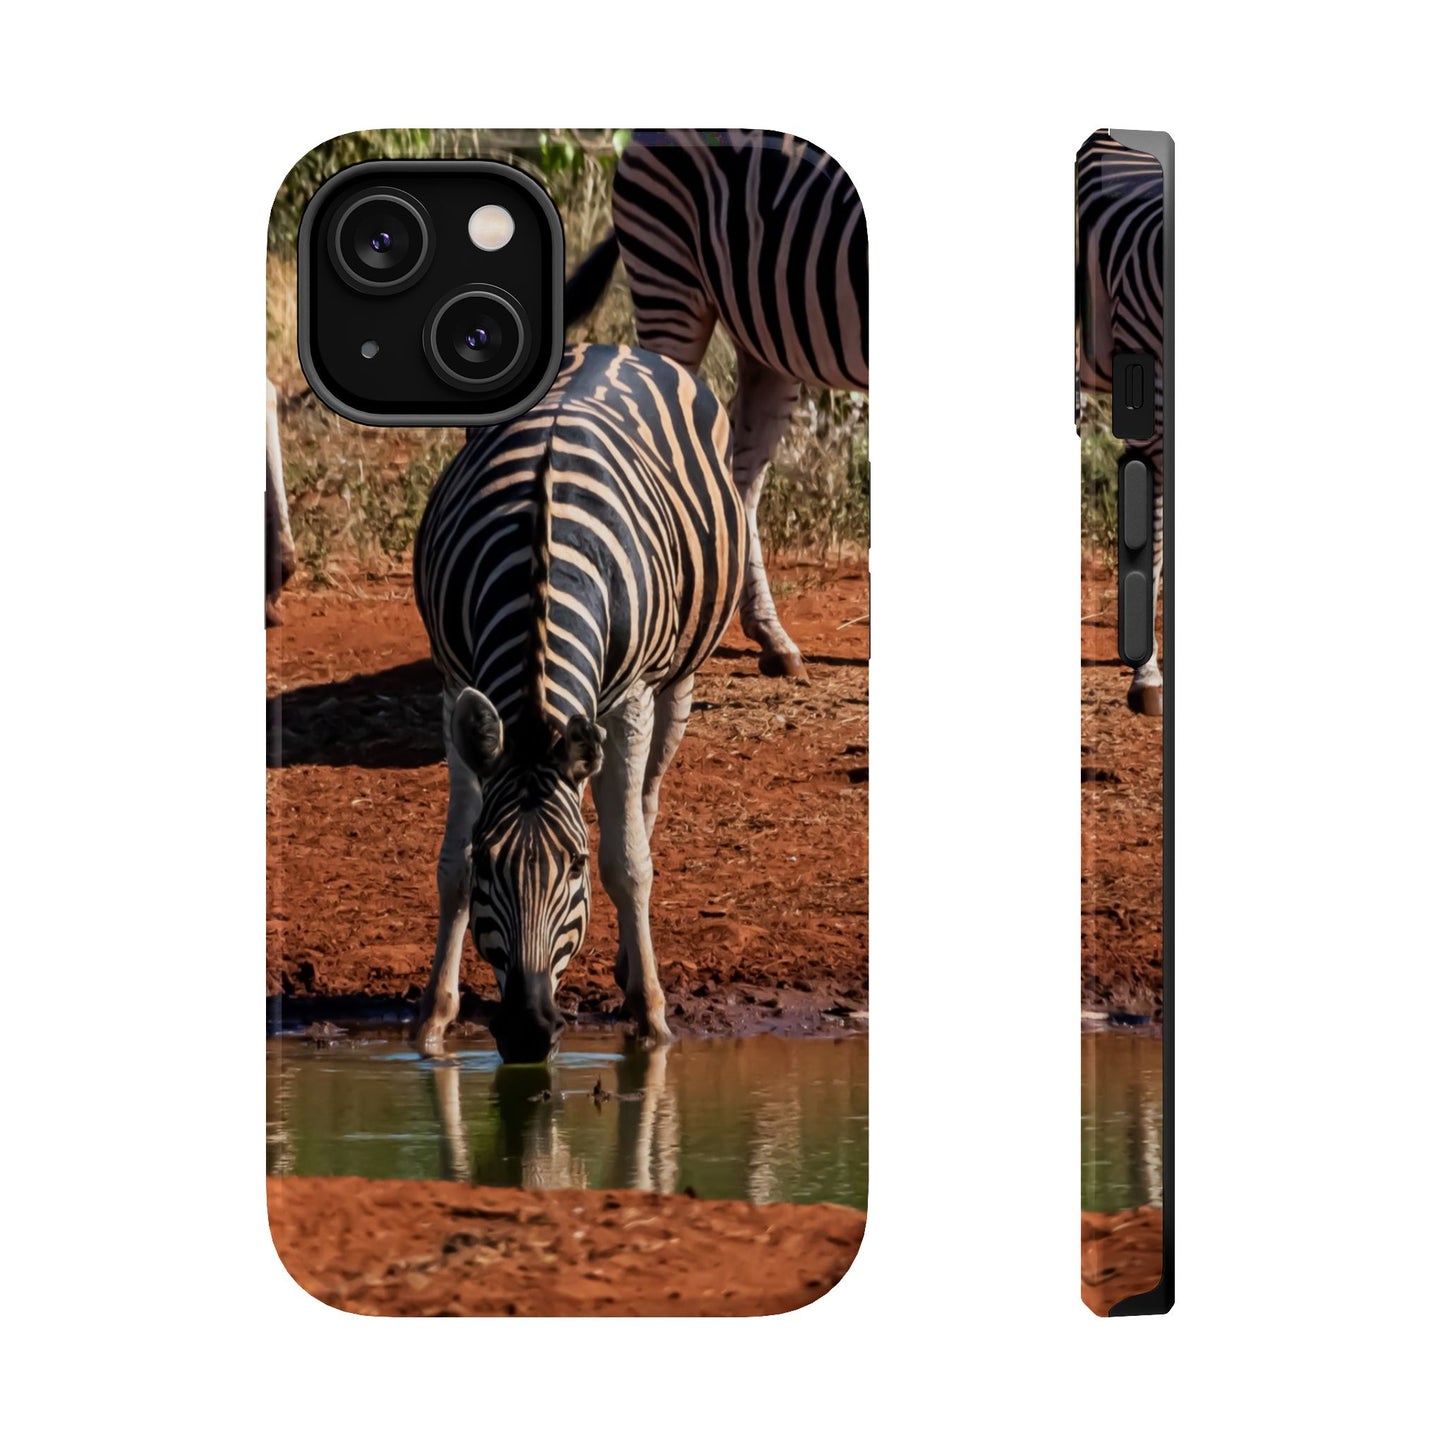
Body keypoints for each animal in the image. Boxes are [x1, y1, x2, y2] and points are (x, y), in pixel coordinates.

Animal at [412, 342, 744, 1061]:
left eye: (575, 866)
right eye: (491, 860)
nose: (528, 1031)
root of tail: (613, 346)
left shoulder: (632, 698)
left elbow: (629, 863)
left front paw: (651, 1017)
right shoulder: (453, 685)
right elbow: (450, 866)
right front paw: (433, 1018)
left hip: (675, 679)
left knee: (644, 803)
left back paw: (630, 965)